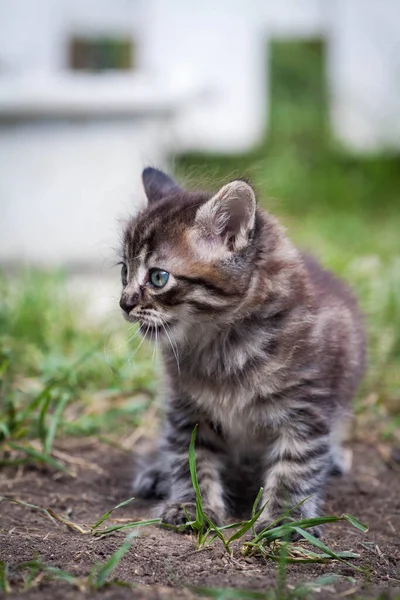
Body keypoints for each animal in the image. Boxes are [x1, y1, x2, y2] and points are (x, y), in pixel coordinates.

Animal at [119, 168, 366, 536]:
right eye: (124, 271)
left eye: (158, 277)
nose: (124, 303)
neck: (222, 346)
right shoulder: (185, 408)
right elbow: (190, 460)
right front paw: (192, 506)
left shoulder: (306, 409)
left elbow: (295, 467)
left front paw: (284, 520)